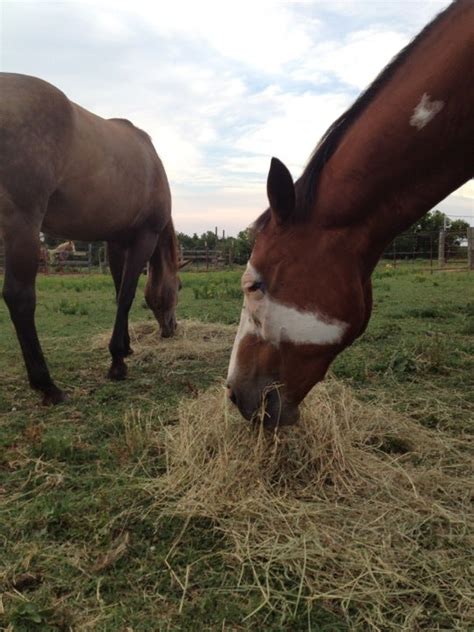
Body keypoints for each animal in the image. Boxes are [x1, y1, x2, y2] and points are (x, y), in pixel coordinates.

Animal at [0, 74, 179, 404]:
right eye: (180, 287)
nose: (172, 327)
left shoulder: (115, 242)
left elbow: (119, 290)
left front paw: (126, 347)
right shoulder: (144, 238)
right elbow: (127, 295)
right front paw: (118, 361)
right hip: (22, 225)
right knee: (20, 298)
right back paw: (47, 385)